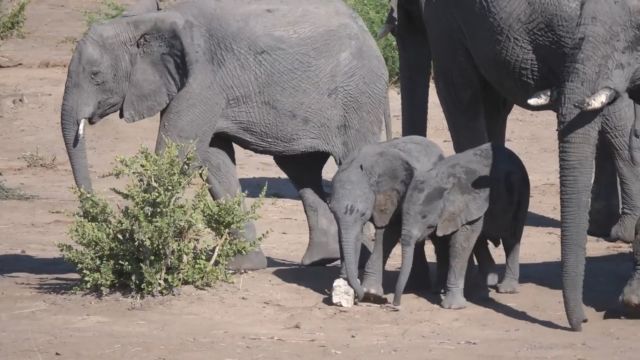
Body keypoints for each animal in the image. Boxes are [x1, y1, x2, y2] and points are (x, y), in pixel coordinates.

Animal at [61, 0, 390, 270]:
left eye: (95, 76)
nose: (100, 217)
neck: (146, 21)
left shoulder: (203, 81)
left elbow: (179, 156)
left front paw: (142, 253)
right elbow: (214, 161)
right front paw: (242, 266)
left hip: (357, 98)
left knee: (347, 161)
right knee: (300, 168)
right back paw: (322, 259)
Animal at [396, 143, 528, 310]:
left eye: (424, 216)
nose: (395, 305)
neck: (440, 178)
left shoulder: (469, 204)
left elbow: (460, 244)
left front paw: (452, 306)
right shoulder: (445, 215)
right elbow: (441, 244)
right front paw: (438, 290)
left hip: (522, 190)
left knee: (511, 237)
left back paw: (506, 289)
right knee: (480, 240)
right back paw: (485, 284)